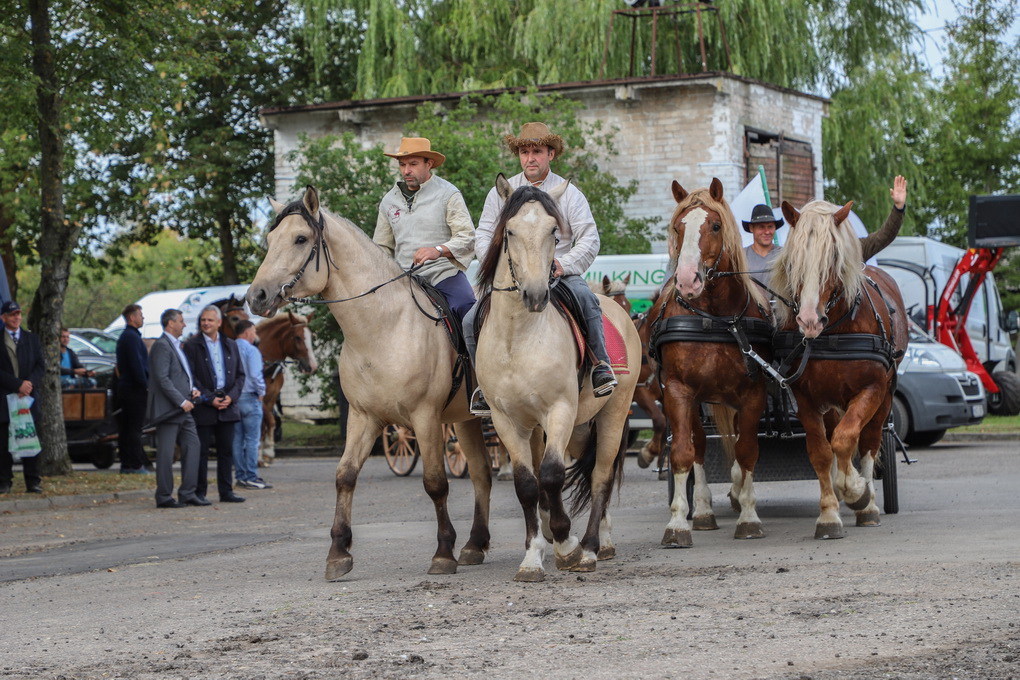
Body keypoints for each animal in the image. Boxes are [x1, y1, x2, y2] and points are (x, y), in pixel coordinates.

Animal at [255, 311, 318, 468]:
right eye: (297, 337)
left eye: (311, 336)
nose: (312, 366)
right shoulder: (259, 397)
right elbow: (266, 422)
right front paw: (265, 453)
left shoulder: (272, 396)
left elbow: (266, 423)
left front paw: (264, 454)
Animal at [471, 178, 636, 583]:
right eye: (509, 231)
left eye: (553, 232)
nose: (534, 294)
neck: (518, 337)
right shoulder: (507, 420)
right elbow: (527, 483)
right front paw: (533, 557)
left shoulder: (559, 411)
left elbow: (551, 474)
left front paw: (565, 544)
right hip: (576, 427)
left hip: (611, 415)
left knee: (601, 476)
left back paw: (591, 548)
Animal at [648, 178, 775, 546]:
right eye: (678, 227)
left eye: (715, 226)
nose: (687, 280)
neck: (717, 319)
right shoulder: (677, 390)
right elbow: (683, 453)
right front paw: (678, 524)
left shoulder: (752, 393)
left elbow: (747, 450)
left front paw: (748, 516)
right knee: (700, 447)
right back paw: (703, 511)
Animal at [771, 199, 909, 538]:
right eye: (793, 259)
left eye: (833, 256)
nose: (809, 320)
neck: (833, 332)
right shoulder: (805, 397)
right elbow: (822, 451)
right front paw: (829, 513)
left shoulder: (871, 389)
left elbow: (848, 440)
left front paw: (857, 492)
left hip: (885, 396)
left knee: (869, 441)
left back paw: (868, 505)